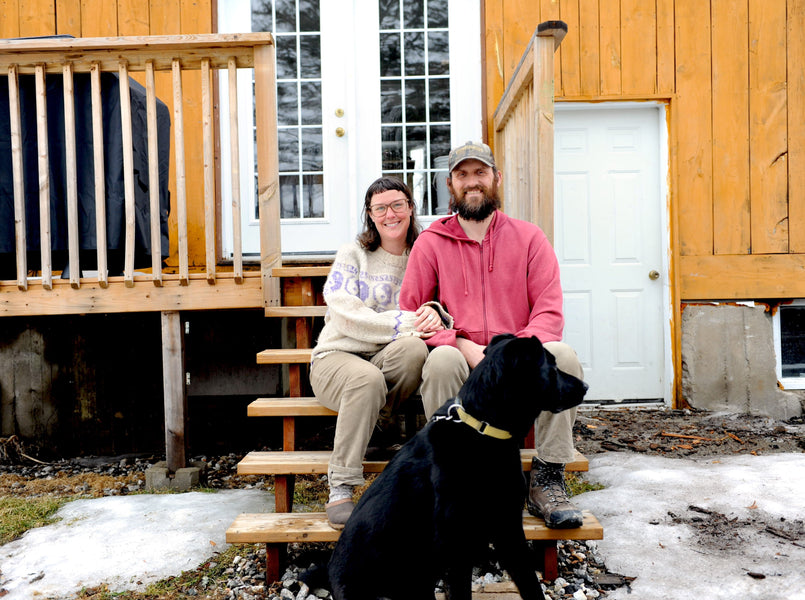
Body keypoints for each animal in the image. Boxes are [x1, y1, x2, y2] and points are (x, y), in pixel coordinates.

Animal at [326, 336, 584, 596]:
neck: (484, 430)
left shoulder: (508, 527)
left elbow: (531, 584)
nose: (585, 386)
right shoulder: (457, 542)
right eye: (552, 368)